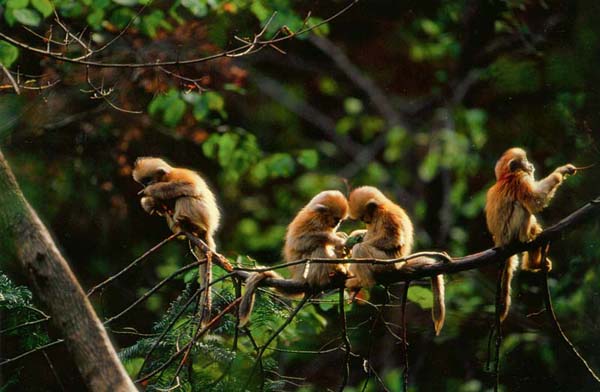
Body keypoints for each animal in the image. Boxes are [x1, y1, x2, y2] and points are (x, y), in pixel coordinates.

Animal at [132, 156, 221, 324]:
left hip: (202, 213)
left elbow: (191, 187)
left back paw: (188, 222)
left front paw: (151, 191)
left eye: (148, 180)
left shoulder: (178, 175)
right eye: (143, 182)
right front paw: (149, 203)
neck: (166, 177)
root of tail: (209, 229)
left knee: (184, 197)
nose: (146, 186)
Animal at [238, 191, 352, 326]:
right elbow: (300, 241)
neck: (320, 217)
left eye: (339, 220)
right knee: (319, 247)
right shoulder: (312, 220)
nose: (337, 224)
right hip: (308, 272)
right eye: (336, 219)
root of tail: (299, 277)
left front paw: (341, 238)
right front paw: (338, 240)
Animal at [342, 185, 446, 336]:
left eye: (362, 216)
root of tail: (400, 264)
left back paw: (361, 281)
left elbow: (393, 239)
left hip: (386, 262)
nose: (365, 221)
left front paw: (356, 241)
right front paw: (355, 235)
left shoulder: (387, 215)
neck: (381, 207)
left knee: (361, 249)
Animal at [482, 147, 576, 322]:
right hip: (512, 233)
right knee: (523, 207)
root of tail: (500, 242)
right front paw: (560, 172)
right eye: (525, 161)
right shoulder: (521, 179)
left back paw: (533, 262)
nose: (530, 164)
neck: (505, 177)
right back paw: (528, 241)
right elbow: (534, 200)